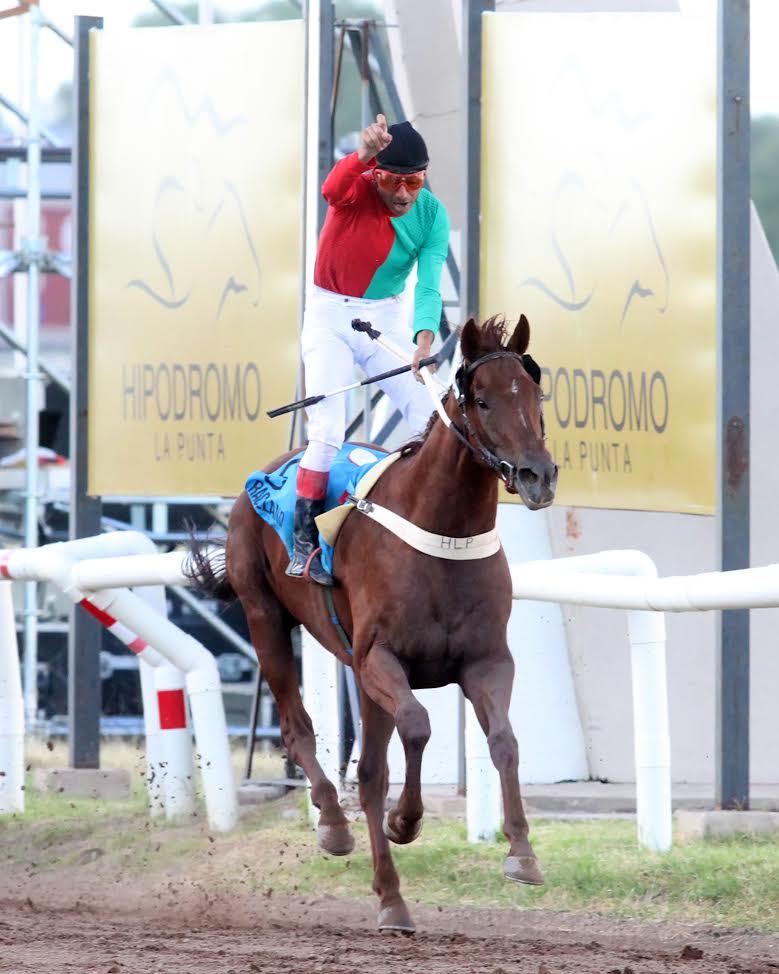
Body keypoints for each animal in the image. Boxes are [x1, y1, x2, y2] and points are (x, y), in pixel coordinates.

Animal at [187, 314, 556, 936]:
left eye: (535, 394)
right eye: (482, 400)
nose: (539, 476)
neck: (443, 530)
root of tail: (269, 469)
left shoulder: (486, 661)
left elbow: (504, 740)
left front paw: (522, 854)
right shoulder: (380, 657)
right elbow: (418, 728)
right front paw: (404, 821)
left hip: (355, 674)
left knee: (369, 770)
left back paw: (391, 895)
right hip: (266, 620)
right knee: (302, 730)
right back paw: (341, 834)